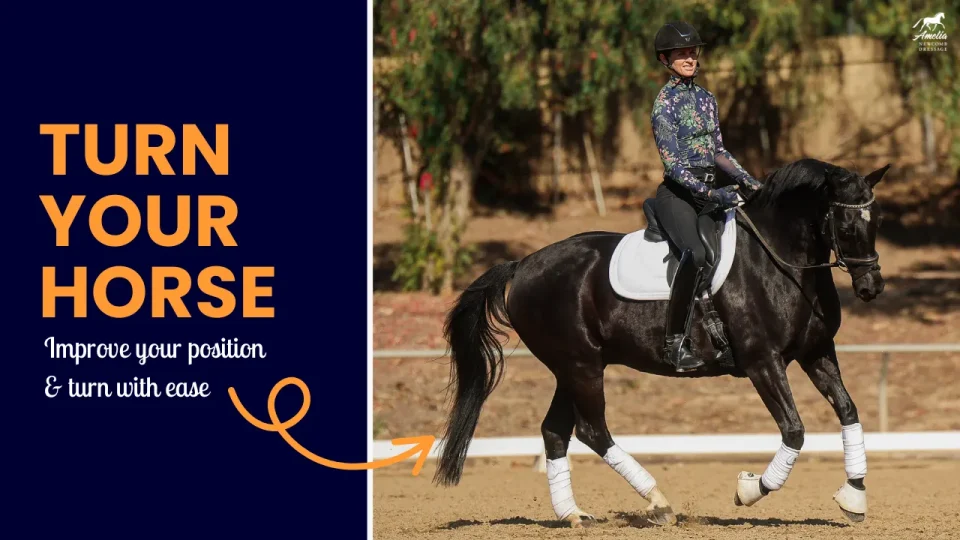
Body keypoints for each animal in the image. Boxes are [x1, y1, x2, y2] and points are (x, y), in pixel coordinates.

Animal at [430, 158, 891, 527]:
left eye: (877, 221)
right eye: (846, 224)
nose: (871, 287)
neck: (780, 260)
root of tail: (522, 265)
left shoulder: (815, 353)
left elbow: (848, 410)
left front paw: (854, 497)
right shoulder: (763, 361)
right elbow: (794, 430)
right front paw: (748, 489)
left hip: (572, 367)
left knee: (555, 432)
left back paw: (573, 514)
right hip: (581, 366)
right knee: (592, 430)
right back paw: (658, 503)